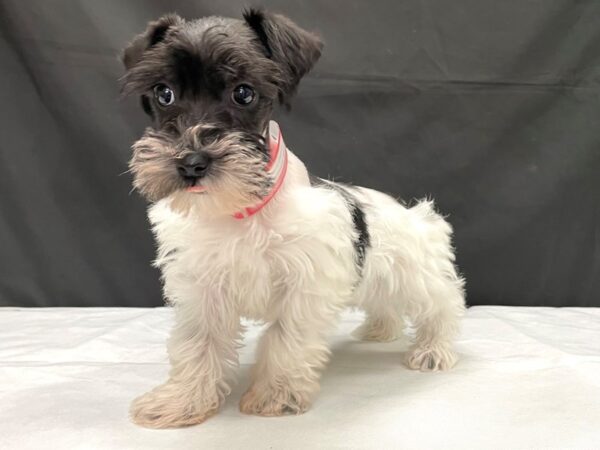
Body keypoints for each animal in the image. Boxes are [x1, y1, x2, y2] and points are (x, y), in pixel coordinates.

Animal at [119, 8, 466, 428]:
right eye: (164, 93)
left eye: (244, 92)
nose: (191, 162)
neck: (240, 208)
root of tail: (404, 209)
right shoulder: (203, 289)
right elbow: (198, 343)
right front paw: (183, 400)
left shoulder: (306, 284)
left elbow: (286, 339)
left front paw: (276, 395)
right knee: (386, 304)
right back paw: (379, 329)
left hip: (414, 273)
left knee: (443, 302)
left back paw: (434, 349)